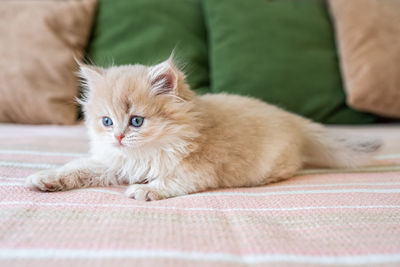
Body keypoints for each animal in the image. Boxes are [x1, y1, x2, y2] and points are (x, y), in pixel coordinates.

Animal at [24, 55, 382, 201]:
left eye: (137, 121)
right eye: (107, 121)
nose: (119, 136)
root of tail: (292, 118)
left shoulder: (197, 170)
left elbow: (170, 180)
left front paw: (145, 190)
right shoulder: (114, 163)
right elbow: (78, 167)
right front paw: (44, 179)